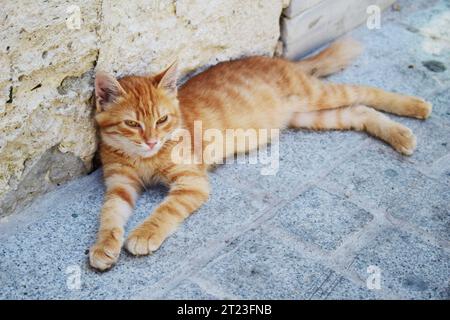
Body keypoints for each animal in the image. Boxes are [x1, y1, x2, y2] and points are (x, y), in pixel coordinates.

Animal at [89, 39, 430, 270]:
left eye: (162, 120)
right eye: (132, 124)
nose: (151, 141)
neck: (144, 159)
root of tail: (281, 61)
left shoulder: (192, 183)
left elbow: (165, 211)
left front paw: (145, 233)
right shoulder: (120, 186)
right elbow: (109, 215)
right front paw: (104, 245)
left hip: (316, 96)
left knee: (365, 91)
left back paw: (415, 107)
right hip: (309, 116)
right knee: (359, 111)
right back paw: (399, 133)